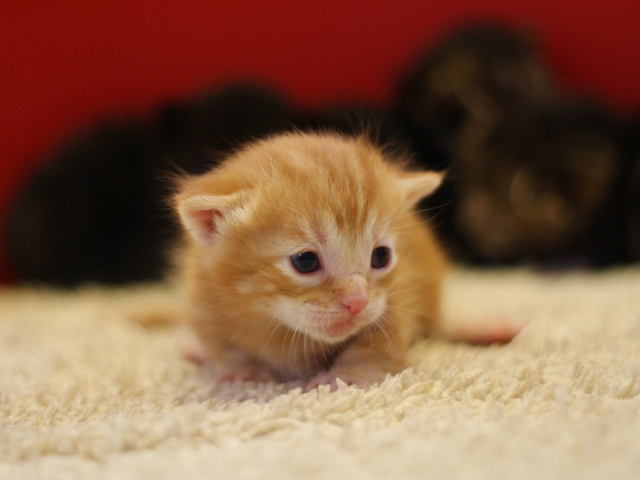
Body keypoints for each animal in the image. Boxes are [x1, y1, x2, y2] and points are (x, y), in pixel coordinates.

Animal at [172, 131, 448, 390]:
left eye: (381, 256)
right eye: (305, 261)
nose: (357, 302)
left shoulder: (396, 295)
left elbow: (378, 343)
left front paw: (348, 376)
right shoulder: (203, 294)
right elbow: (223, 345)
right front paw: (245, 371)